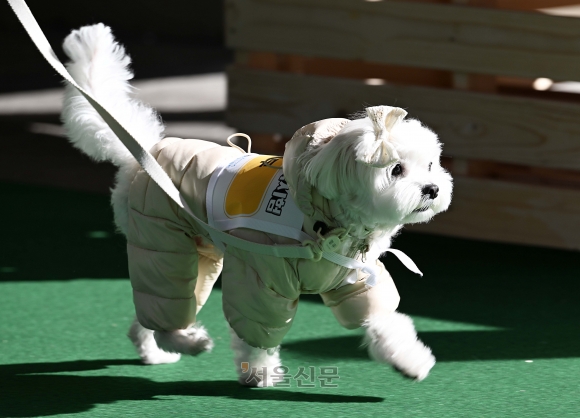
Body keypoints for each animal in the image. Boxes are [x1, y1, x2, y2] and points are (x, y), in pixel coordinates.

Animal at [62, 25, 454, 386]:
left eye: (430, 165)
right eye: (396, 169)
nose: (433, 189)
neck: (327, 224)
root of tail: (145, 154)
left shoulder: (355, 278)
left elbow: (383, 319)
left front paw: (410, 360)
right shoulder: (262, 280)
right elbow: (257, 332)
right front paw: (260, 373)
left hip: (199, 251)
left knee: (157, 307)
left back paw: (156, 351)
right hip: (161, 240)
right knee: (165, 302)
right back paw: (188, 342)